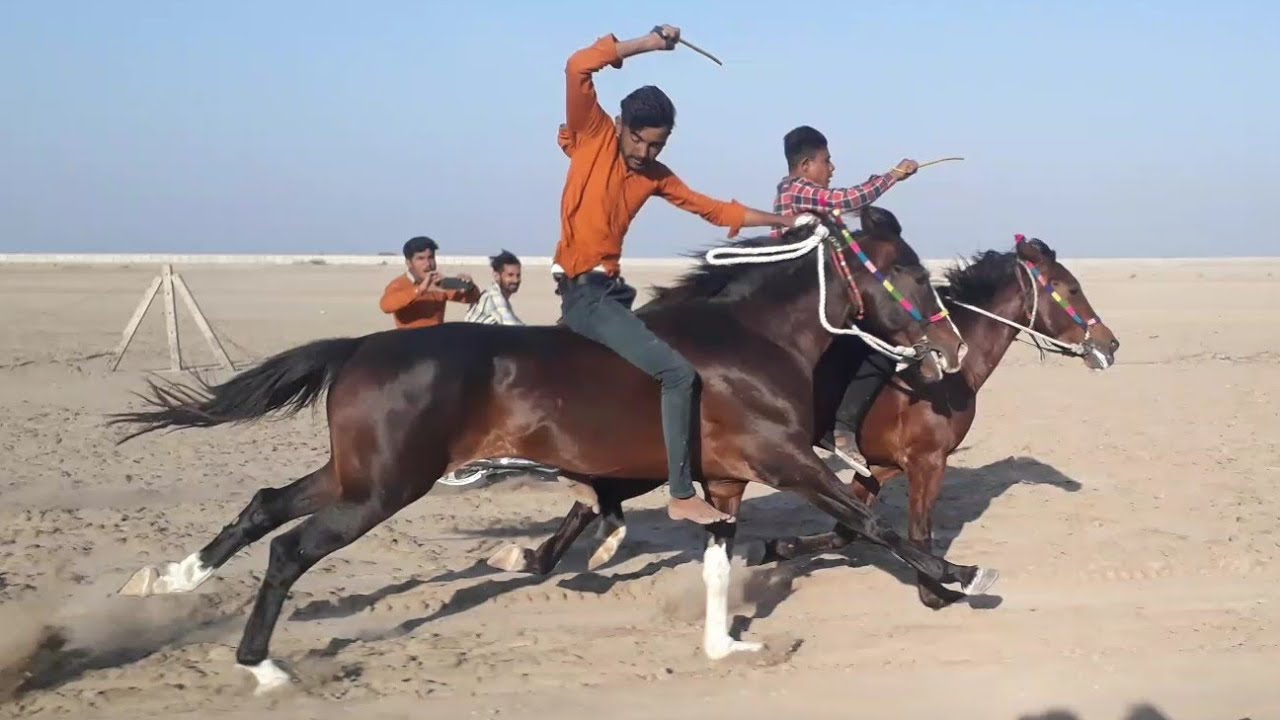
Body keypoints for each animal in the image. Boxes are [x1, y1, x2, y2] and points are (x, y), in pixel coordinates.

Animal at [104, 209, 993, 695]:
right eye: (911, 272)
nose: (948, 349)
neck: (749, 340)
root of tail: (361, 347)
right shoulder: (785, 461)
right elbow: (870, 521)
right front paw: (955, 574)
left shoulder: (724, 484)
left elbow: (719, 561)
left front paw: (726, 644)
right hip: (384, 486)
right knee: (289, 548)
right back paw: (262, 666)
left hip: (356, 474)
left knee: (263, 507)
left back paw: (169, 579)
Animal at [476, 229, 1116, 614]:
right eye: (1070, 288)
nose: (1109, 344)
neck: (942, 377)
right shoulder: (923, 462)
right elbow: (906, 531)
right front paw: (940, 587)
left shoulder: (874, 467)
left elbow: (852, 527)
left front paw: (777, 547)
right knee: (594, 497)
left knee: (590, 499)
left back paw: (537, 556)